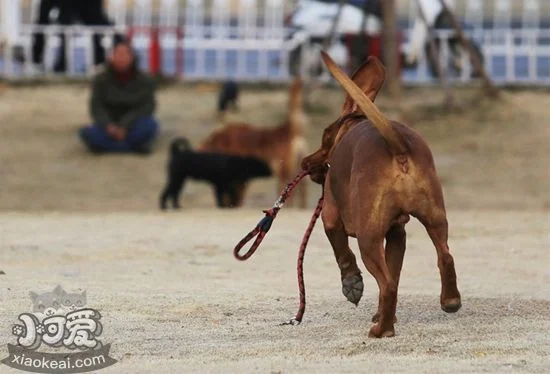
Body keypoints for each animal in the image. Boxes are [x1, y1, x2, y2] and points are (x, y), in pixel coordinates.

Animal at [304, 53, 464, 338]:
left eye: (325, 137)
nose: (305, 162)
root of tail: (398, 147)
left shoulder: (330, 216)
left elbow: (343, 253)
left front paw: (352, 284)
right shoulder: (397, 234)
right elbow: (394, 272)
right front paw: (381, 312)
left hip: (368, 238)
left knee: (387, 284)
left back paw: (382, 330)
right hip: (435, 218)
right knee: (444, 257)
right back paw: (449, 301)